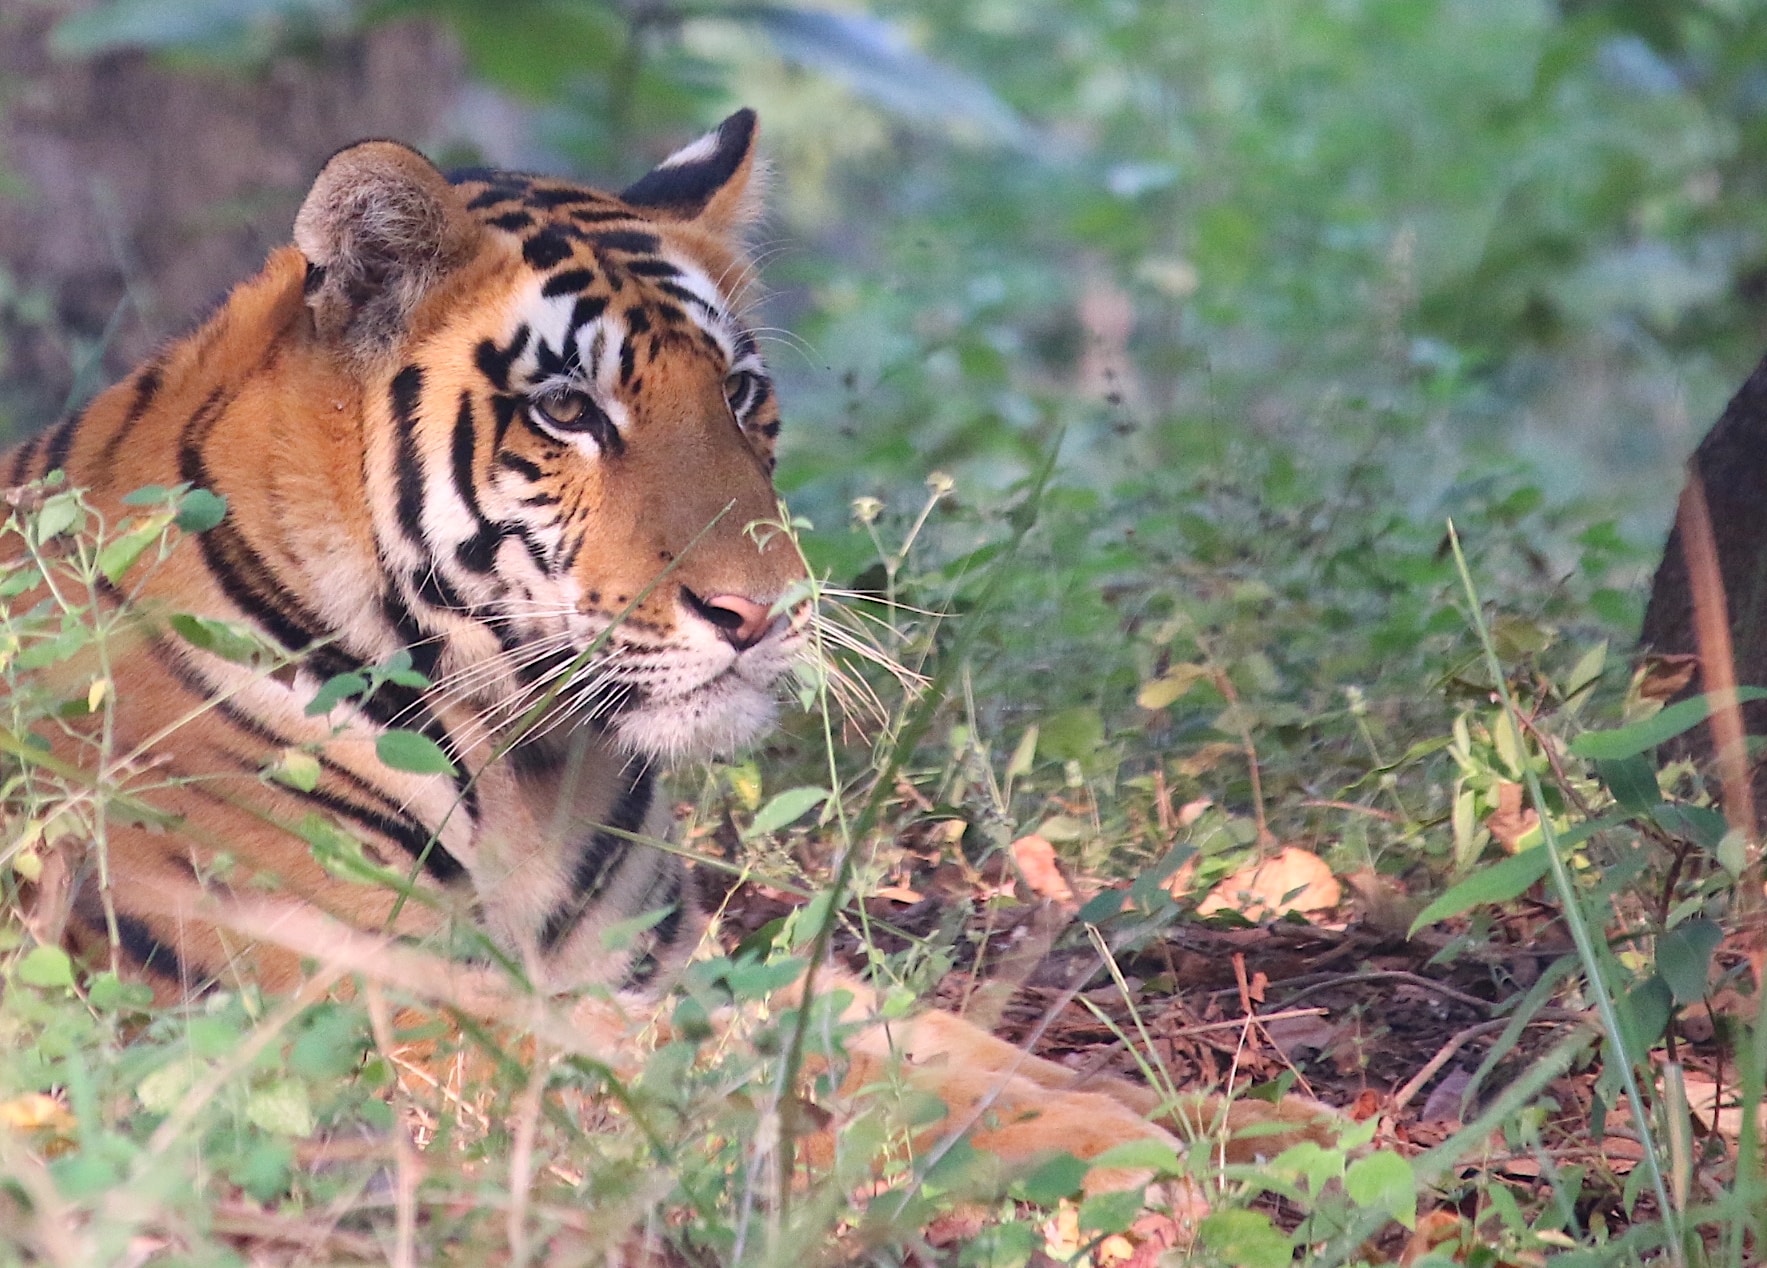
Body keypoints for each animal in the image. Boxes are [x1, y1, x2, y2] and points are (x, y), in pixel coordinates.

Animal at [0, 109, 1335, 1200]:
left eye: (740, 392)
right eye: (567, 411)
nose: (766, 609)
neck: (530, 768)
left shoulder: (656, 965)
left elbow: (909, 1031)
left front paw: (1261, 1121)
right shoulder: (382, 1012)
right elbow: (772, 1088)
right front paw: (1117, 1145)